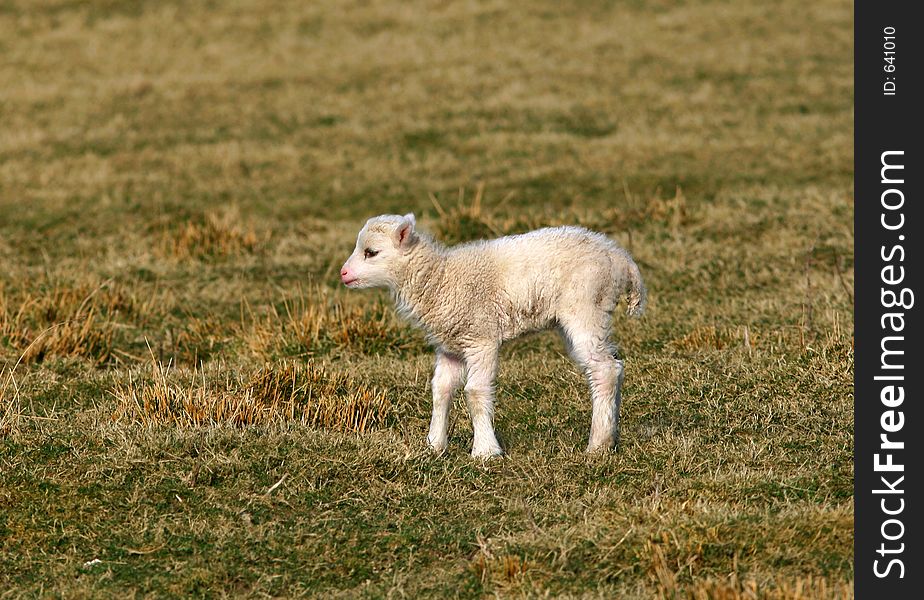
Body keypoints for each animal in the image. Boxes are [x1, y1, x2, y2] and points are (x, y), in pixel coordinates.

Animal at [336, 213, 648, 458]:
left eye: (371, 252)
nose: (343, 274)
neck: (440, 279)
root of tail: (621, 258)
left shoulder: (481, 337)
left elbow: (475, 392)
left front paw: (485, 451)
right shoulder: (451, 345)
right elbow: (441, 390)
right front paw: (434, 445)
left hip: (586, 307)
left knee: (605, 369)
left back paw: (598, 444)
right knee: (611, 368)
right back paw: (611, 436)